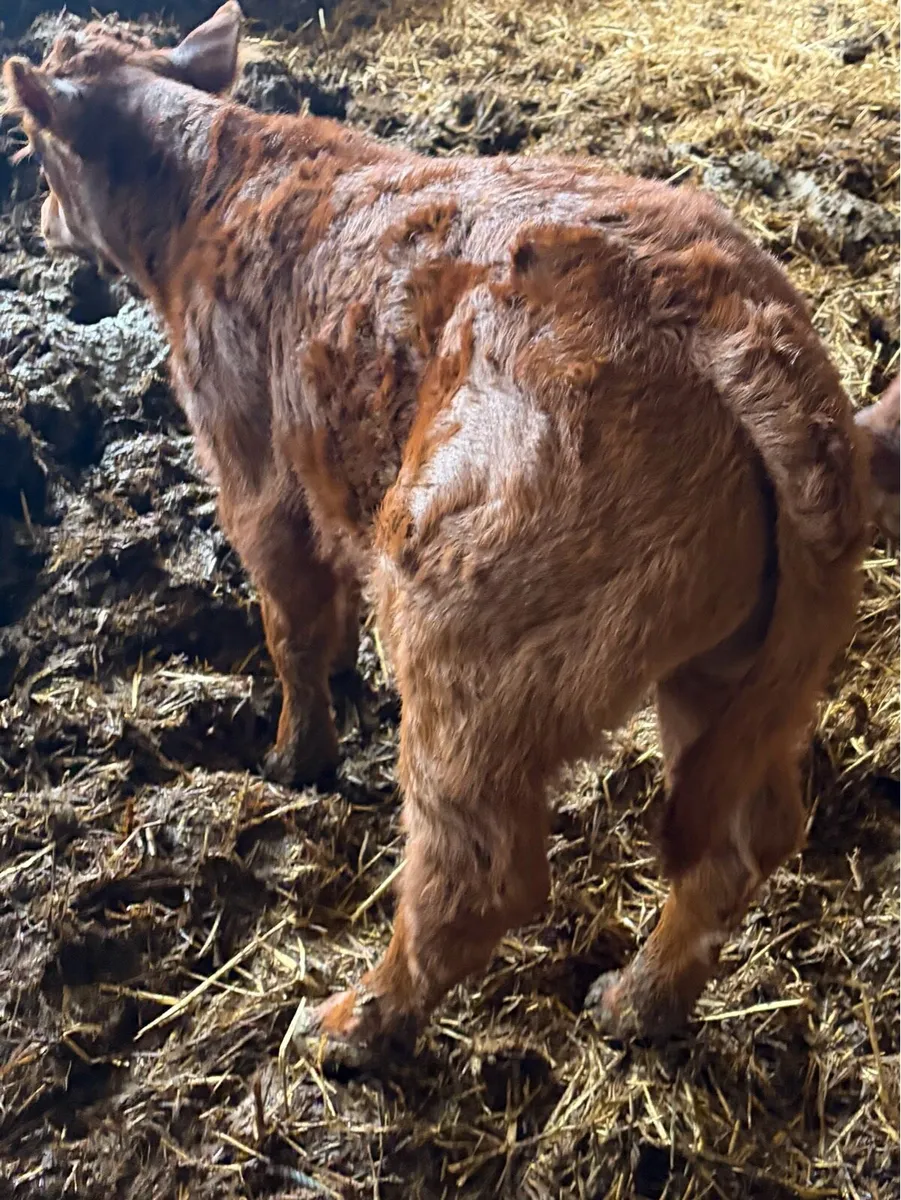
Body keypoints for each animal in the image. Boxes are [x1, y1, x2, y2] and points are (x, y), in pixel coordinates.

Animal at [3, 1, 870, 1055]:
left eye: (33, 147)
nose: (41, 224)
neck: (206, 193)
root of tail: (723, 311)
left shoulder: (251, 471)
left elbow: (288, 626)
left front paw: (293, 760)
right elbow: (323, 620)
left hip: (461, 620)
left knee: (477, 870)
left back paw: (346, 1027)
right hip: (741, 662)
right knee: (743, 833)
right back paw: (633, 1004)